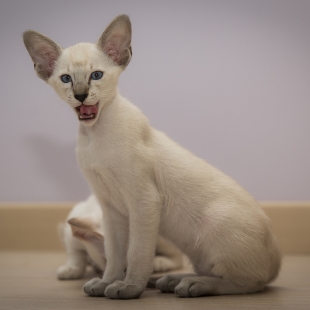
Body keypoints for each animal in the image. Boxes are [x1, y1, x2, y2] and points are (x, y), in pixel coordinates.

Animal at [23, 13, 280, 298]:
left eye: (96, 75)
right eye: (66, 79)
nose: (80, 96)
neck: (95, 135)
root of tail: (277, 260)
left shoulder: (144, 201)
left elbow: (137, 252)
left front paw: (129, 287)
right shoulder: (110, 207)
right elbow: (114, 254)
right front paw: (106, 282)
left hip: (216, 221)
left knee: (249, 283)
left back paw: (192, 285)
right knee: (220, 272)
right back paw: (171, 281)